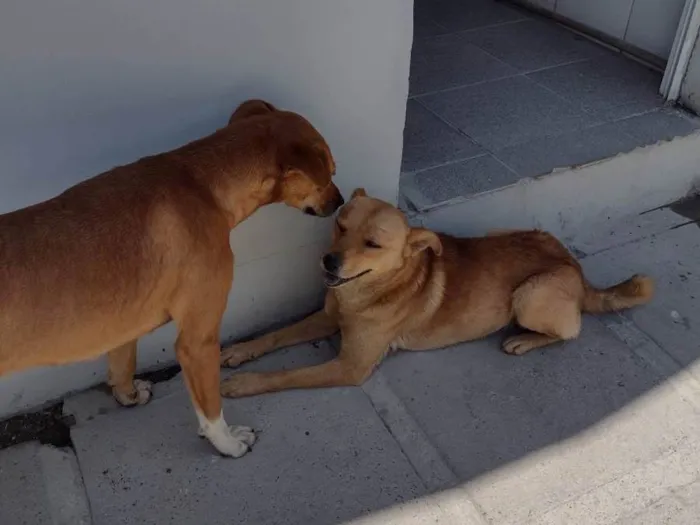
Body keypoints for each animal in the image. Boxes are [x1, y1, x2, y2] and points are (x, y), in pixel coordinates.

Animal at [0, 98, 342, 454]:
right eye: (330, 173)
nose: (341, 201)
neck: (201, 181)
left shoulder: (125, 320)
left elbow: (122, 362)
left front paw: (128, 395)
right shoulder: (197, 342)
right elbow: (211, 409)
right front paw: (227, 443)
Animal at [221, 188, 652, 398]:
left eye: (373, 244)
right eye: (340, 226)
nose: (328, 261)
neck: (369, 291)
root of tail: (576, 267)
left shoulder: (350, 367)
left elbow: (286, 374)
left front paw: (245, 384)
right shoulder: (327, 318)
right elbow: (276, 335)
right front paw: (241, 351)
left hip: (530, 295)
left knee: (571, 331)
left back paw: (524, 340)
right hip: (502, 232)